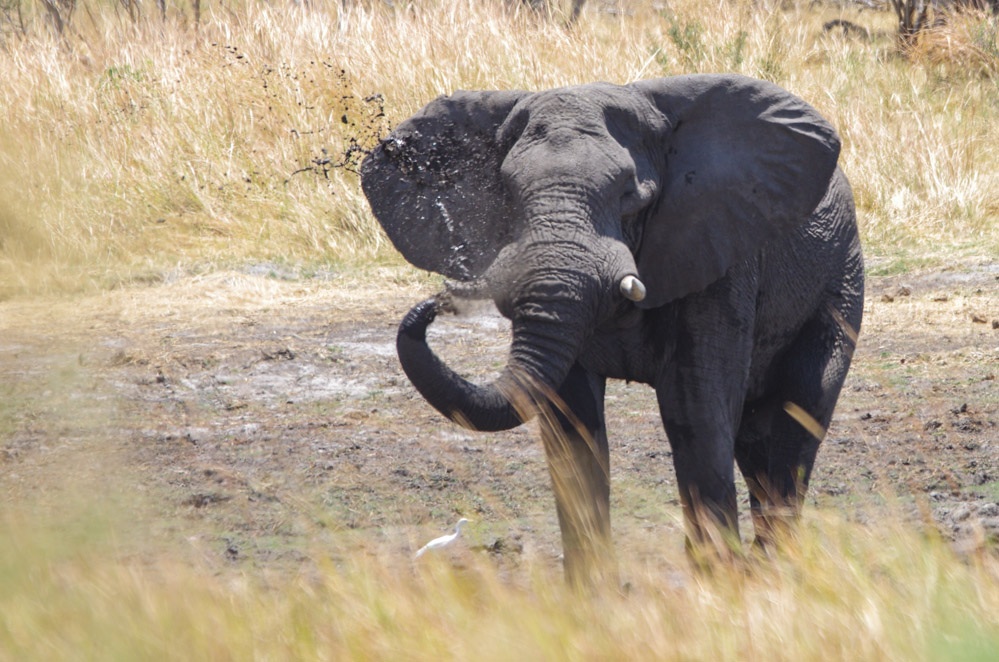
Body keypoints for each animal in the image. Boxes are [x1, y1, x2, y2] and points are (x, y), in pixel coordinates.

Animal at [362, 75, 868, 588]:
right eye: (507, 192)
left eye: (630, 194)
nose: (435, 305)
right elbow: (571, 422)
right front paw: (592, 593)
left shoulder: (719, 248)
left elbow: (695, 407)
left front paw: (715, 584)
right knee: (754, 440)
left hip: (839, 278)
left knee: (795, 423)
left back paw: (775, 569)